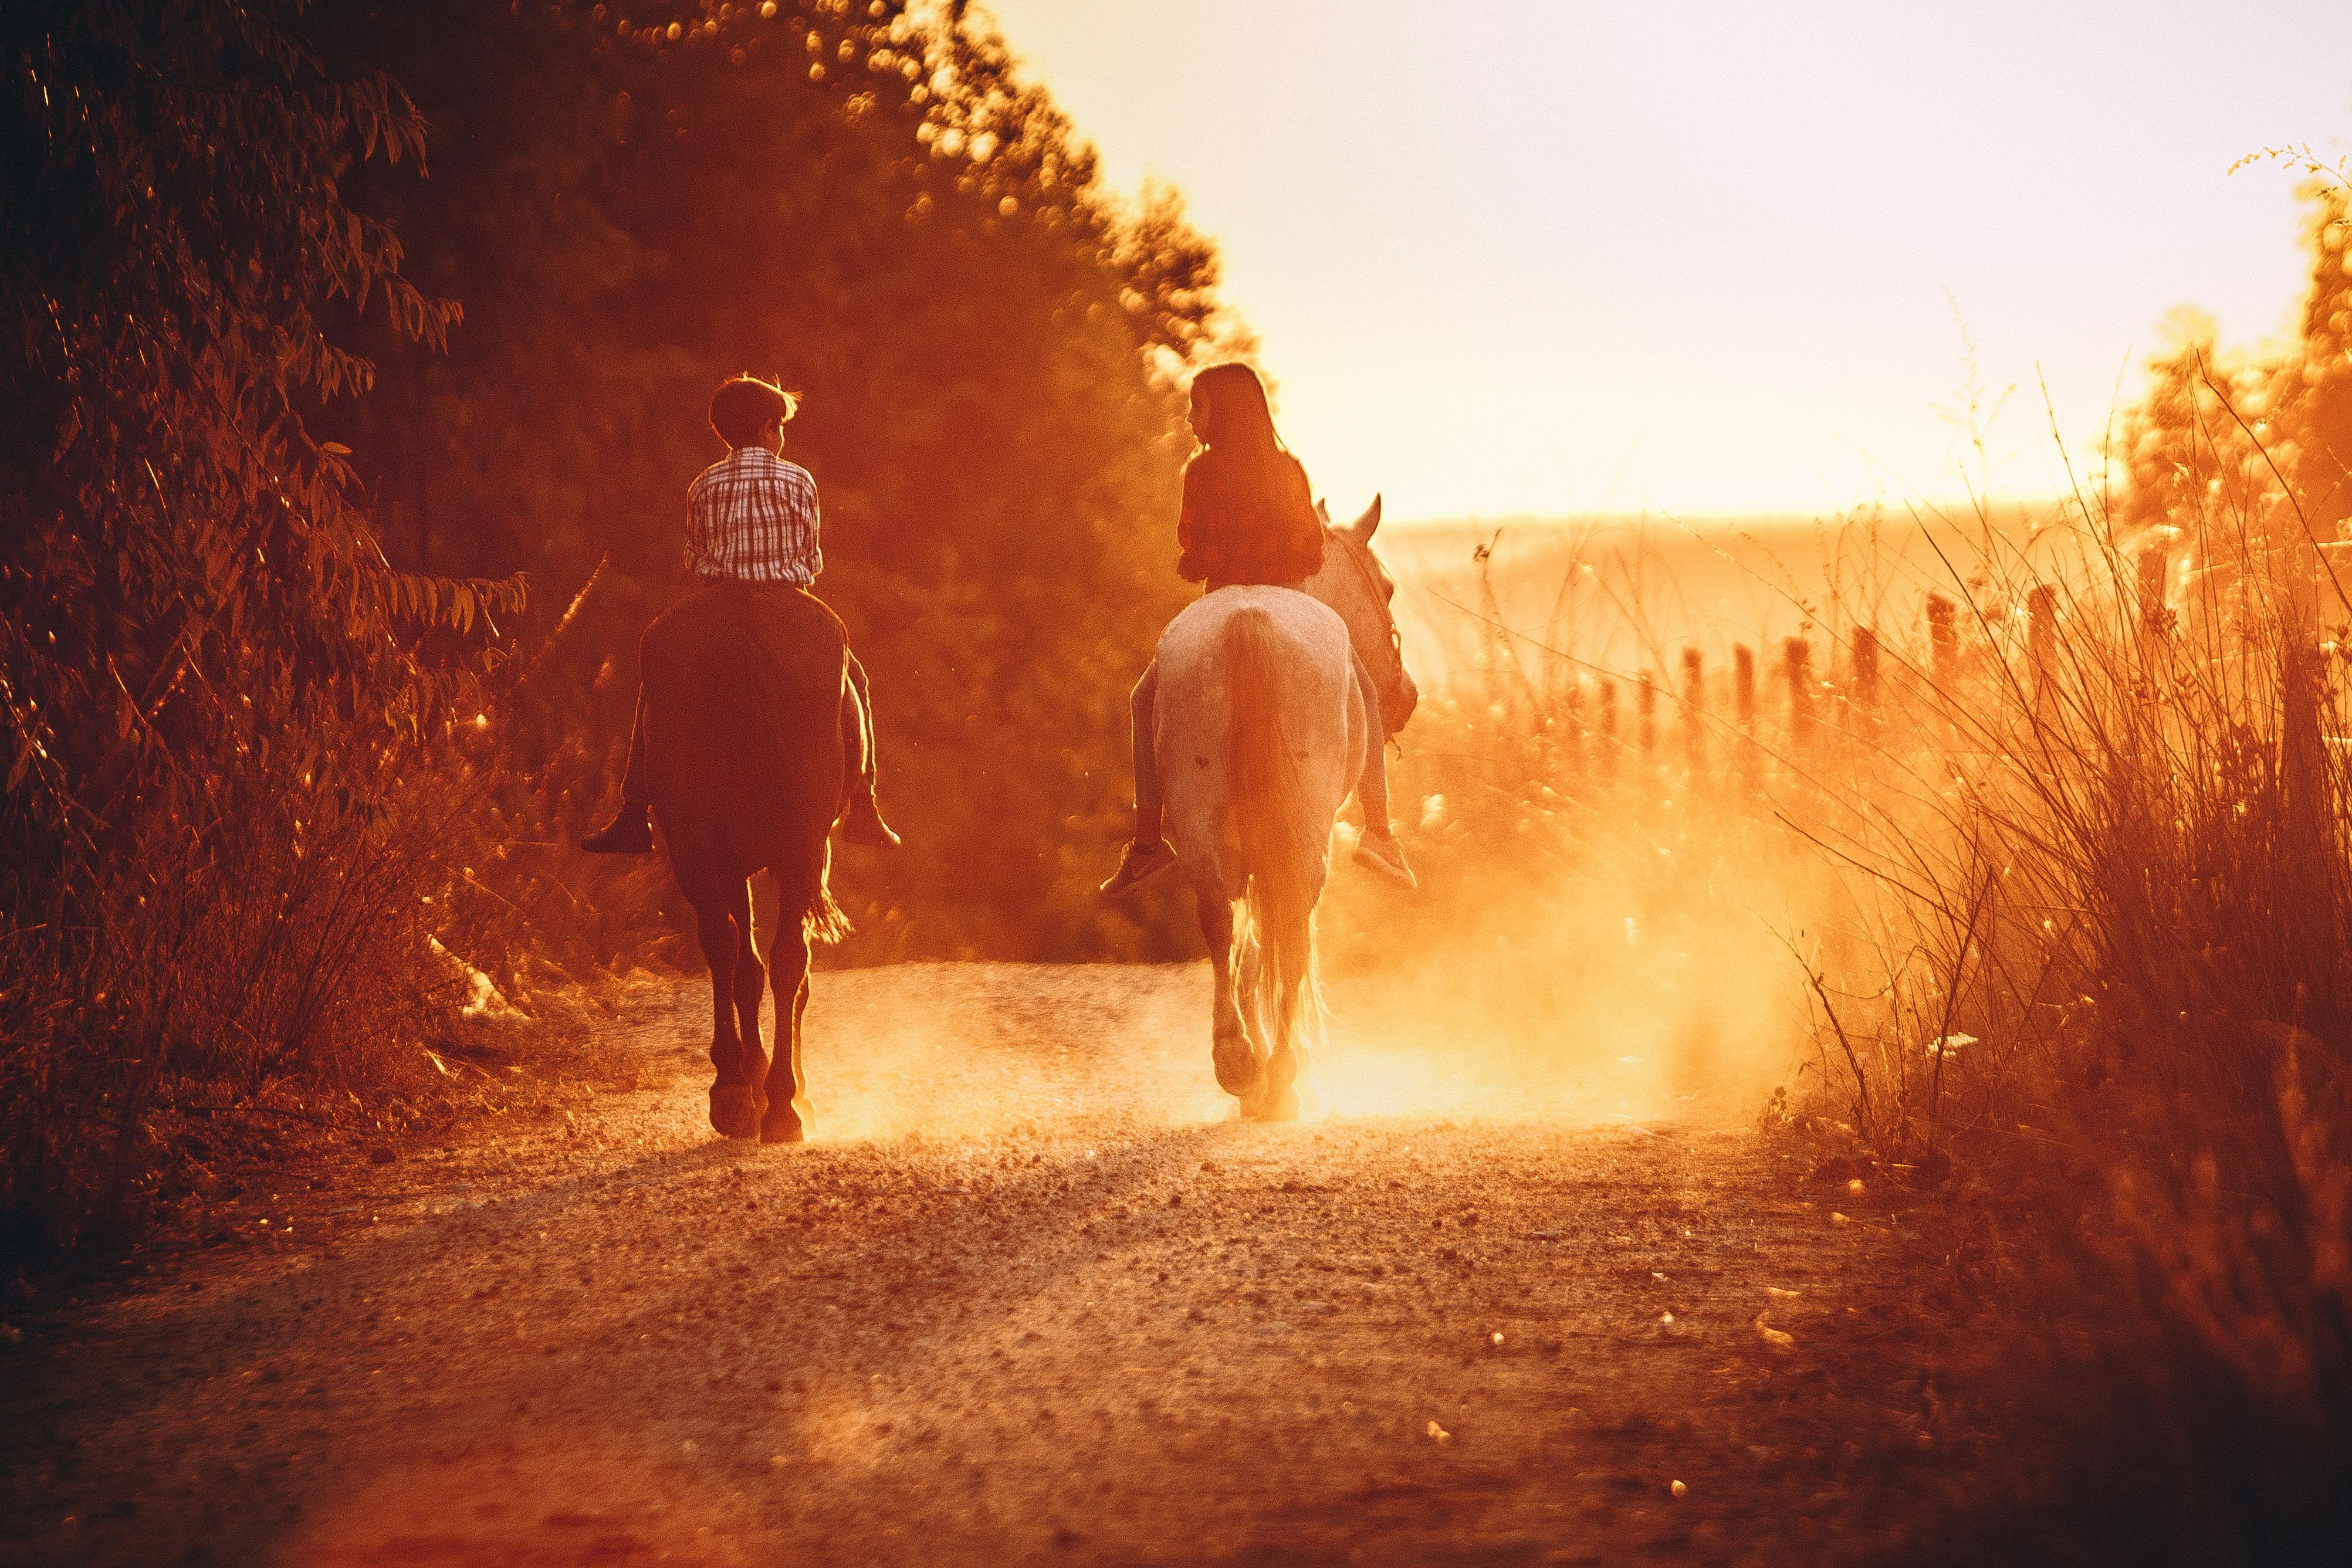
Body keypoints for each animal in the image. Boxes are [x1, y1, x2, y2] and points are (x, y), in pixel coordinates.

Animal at [639, 583, 861, 1147]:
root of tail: (741, 631)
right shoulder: (803, 854)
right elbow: (784, 972)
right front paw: (786, 1090)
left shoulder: (732, 864)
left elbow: (745, 968)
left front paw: (751, 1080)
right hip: (799, 851)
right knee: (787, 962)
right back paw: (782, 1104)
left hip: (695, 848)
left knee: (723, 945)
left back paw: (733, 1093)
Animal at [1152, 496, 1411, 1123]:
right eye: (1387, 588)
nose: (1408, 696)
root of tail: (1248, 623)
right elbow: (1277, 946)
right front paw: (1288, 1077)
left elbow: (1247, 949)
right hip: (1302, 836)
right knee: (1290, 931)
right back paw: (1285, 1076)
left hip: (1201, 826)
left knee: (1219, 922)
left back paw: (1237, 1059)